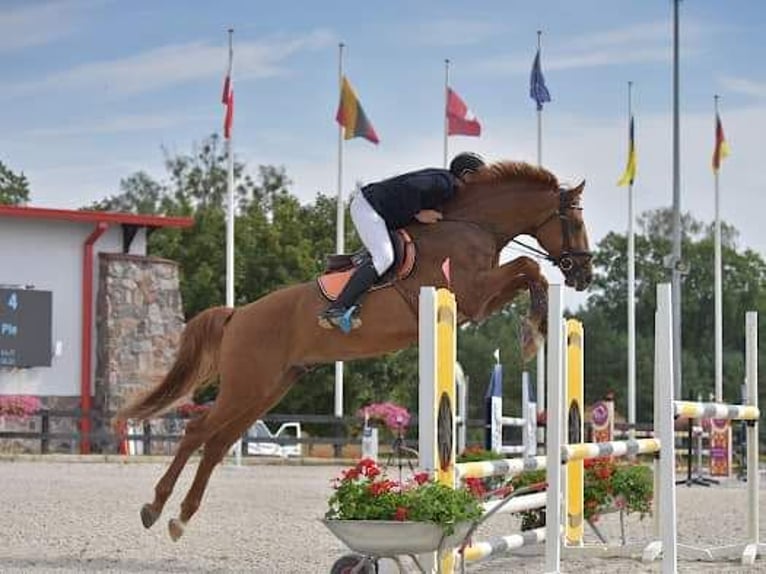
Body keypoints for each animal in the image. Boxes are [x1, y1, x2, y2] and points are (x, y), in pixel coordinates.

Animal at [115, 160, 592, 544]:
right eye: (572, 221)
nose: (584, 275)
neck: (472, 224)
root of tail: (238, 315)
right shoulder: (471, 295)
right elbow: (526, 267)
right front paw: (533, 333)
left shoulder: (477, 301)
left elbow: (526, 274)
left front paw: (536, 327)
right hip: (246, 386)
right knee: (198, 432)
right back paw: (154, 508)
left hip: (266, 390)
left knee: (216, 445)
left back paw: (180, 518)